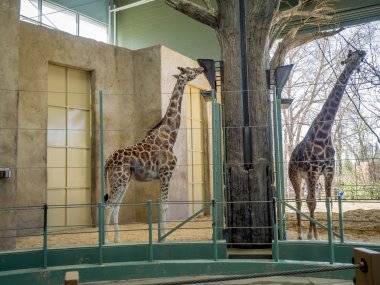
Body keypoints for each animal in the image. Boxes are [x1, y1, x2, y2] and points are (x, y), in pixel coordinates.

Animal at [104, 66, 203, 242]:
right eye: (190, 70)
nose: (201, 68)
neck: (170, 135)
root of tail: (107, 161)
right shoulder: (166, 173)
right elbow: (164, 205)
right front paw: (163, 238)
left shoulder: (161, 176)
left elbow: (161, 205)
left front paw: (161, 237)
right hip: (119, 180)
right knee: (108, 206)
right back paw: (104, 242)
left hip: (124, 180)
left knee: (116, 207)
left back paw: (117, 240)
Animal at [288, 50, 366, 239]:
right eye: (352, 55)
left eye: (358, 54)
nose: (363, 52)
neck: (324, 133)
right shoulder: (314, 169)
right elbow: (312, 202)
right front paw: (313, 236)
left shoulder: (329, 169)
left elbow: (328, 201)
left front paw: (325, 236)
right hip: (295, 174)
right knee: (300, 200)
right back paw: (301, 234)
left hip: (308, 177)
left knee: (307, 199)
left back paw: (311, 233)